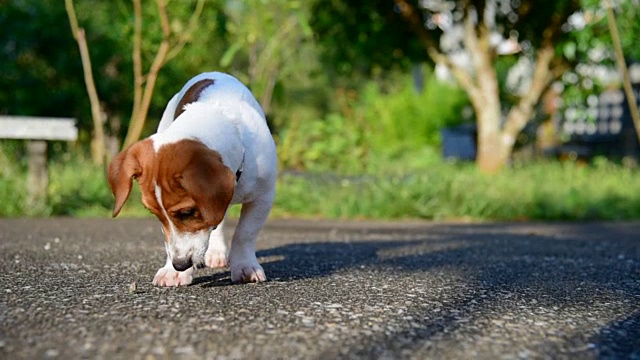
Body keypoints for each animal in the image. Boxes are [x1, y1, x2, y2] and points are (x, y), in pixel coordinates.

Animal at [108, 72, 278, 286]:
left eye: (187, 212)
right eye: (154, 214)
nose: (180, 265)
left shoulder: (263, 196)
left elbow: (244, 233)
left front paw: (245, 266)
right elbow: (170, 241)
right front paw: (172, 272)